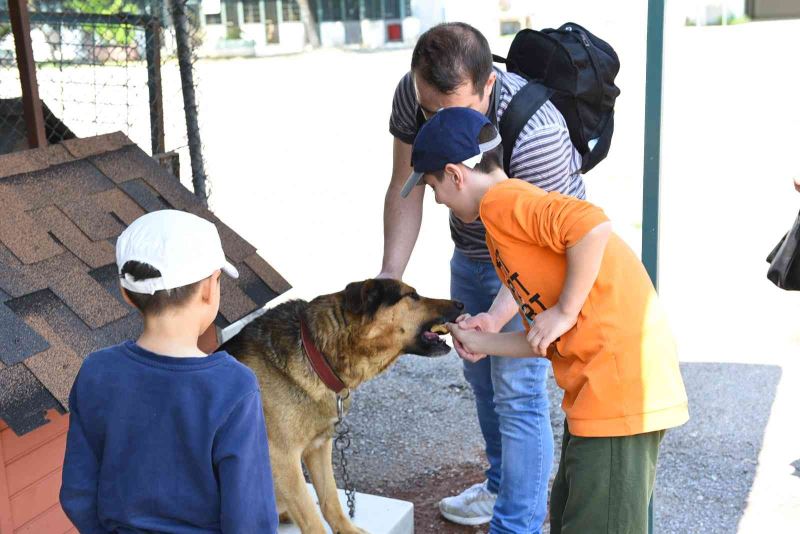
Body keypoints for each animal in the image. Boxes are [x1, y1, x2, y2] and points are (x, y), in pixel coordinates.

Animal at [220, 280, 462, 534]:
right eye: (413, 295)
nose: (461, 304)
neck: (315, 354)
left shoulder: (319, 447)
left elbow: (330, 500)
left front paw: (347, 529)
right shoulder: (283, 458)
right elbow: (311, 515)